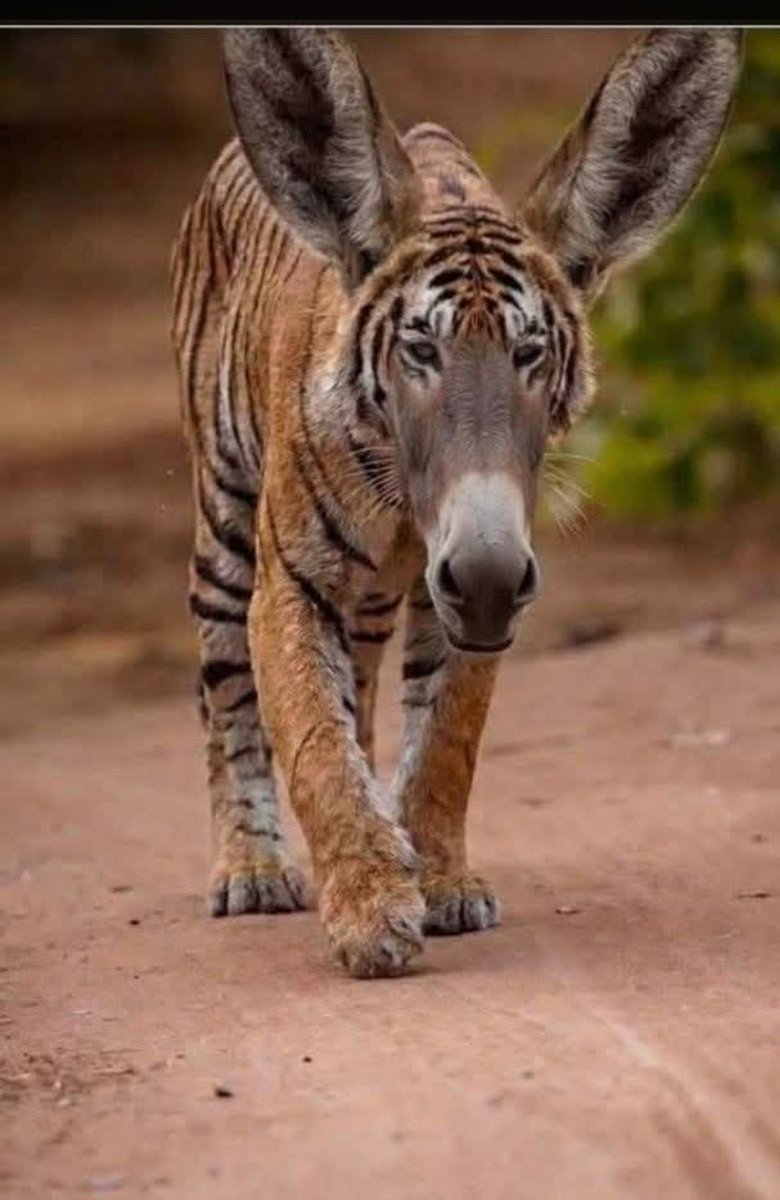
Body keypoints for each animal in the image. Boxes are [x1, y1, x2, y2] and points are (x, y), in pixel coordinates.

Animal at [171, 28, 742, 977]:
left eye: (531, 354)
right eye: (419, 349)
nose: (477, 573)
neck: (413, 508)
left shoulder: (487, 582)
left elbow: (445, 740)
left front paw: (433, 879)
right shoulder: (291, 586)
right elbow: (311, 736)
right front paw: (370, 911)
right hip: (223, 526)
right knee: (226, 695)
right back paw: (251, 867)